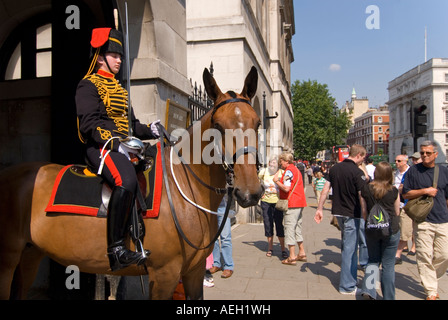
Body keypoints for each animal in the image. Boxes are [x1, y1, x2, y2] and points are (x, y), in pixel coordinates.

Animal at [0, 66, 262, 298]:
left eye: (258, 123)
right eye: (217, 126)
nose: (250, 192)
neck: (185, 191)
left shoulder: (193, 273)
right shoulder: (165, 275)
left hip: (30, 254)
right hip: (8, 260)